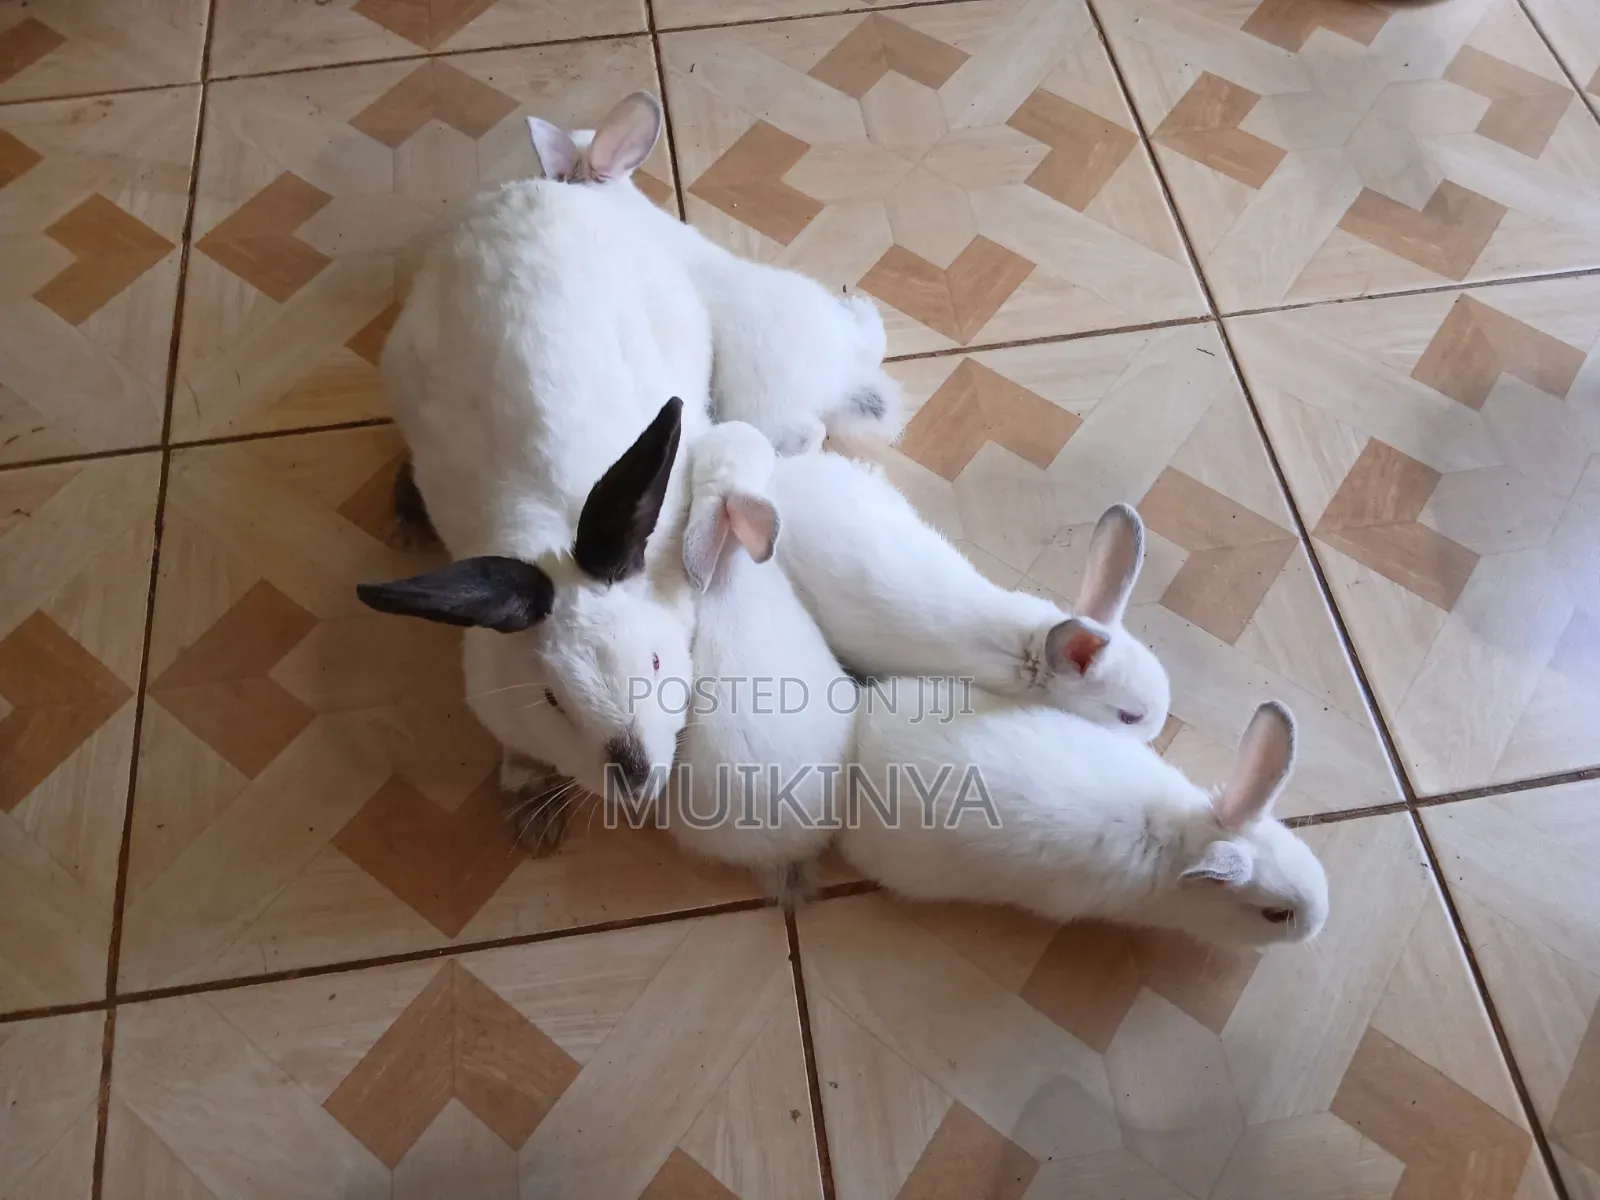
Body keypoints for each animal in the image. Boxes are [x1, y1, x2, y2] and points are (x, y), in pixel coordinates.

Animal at [355, 163, 717, 836]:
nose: (635, 778)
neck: (552, 536)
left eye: (656, 663)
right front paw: (530, 815)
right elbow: (520, 751)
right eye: (551, 699)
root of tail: (526, 192)